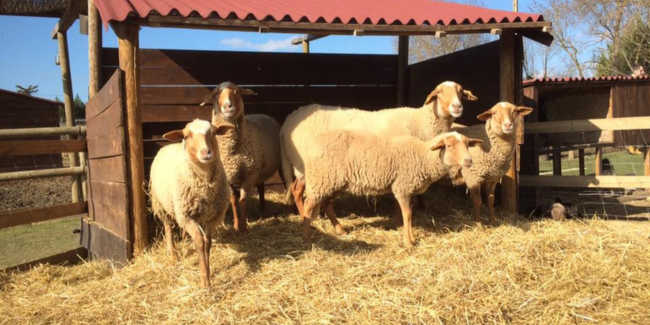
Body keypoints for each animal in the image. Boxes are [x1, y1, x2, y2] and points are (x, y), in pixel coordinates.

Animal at [148, 118, 234, 286]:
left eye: (213, 133)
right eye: (187, 136)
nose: (206, 152)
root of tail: (166, 145)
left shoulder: (214, 216)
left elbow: (207, 243)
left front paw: (208, 272)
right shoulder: (186, 216)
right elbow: (200, 242)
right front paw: (205, 281)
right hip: (161, 204)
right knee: (168, 227)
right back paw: (173, 254)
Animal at [200, 81, 280, 233]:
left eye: (236, 92)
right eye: (217, 94)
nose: (227, 106)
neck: (232, 152)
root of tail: (261, 114)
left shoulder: (249, 175)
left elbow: (243, 201)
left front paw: (243, 228)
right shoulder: (229, 177)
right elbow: (233, 200)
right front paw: (236, 226)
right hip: (259, 168)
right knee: (261, 187)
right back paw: (262, 209)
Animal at [278, 80, 476, 224]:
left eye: (460, 92)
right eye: (440, 92)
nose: (457, 107)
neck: (420, 122)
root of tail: (288, 122)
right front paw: (398, 220)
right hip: (306, 165)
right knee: (297, 190)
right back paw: (306, 216)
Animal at [302, 129, 478, 246]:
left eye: (468, 144)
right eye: (449, 145)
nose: (469, 161)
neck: (423, 156)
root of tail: (311, 145)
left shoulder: (404, 187)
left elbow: (404, 213)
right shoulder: (403, 187)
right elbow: (408, 214)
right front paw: (409, 241)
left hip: (334, 182)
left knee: (327, 205)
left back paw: (341, 231)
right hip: (321, 179)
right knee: (308, 205)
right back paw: (307, 237)